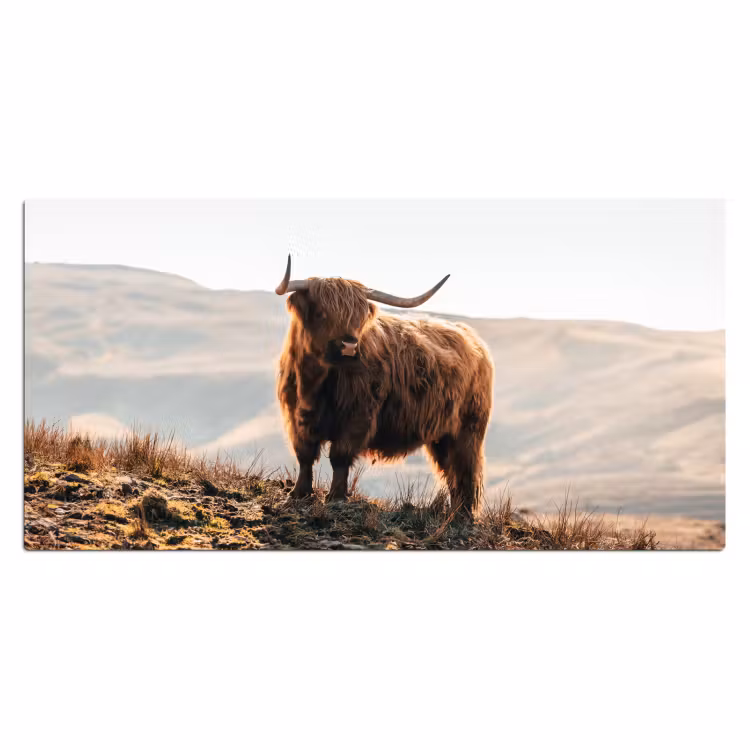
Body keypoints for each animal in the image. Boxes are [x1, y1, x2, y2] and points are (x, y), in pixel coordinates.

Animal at [275, 255, 494, 521]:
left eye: (358, 317)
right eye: (321, 313)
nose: (349, 345)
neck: (314, 383)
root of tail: (473, 339)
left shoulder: (358, 416)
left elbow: (340, 456)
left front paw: (336, 497)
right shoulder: (296, 416)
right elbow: (305, 454)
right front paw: (299, 494)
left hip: (468, 430)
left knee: (465, 470)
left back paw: (462, 515)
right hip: (441, 436)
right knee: (451, 471)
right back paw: (453, 513)